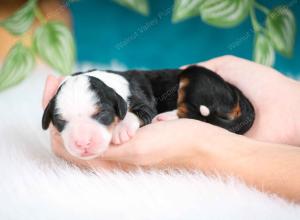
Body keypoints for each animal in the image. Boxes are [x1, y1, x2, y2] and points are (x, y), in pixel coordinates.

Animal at [42, 65, 254, 160]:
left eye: (101, 114)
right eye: (60, 121)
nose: (82, 143)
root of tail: (233, 90)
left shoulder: (145, 103)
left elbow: (135, 113)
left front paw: (121, 130)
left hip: (194, 76)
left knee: (195, 113)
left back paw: (166, 117)